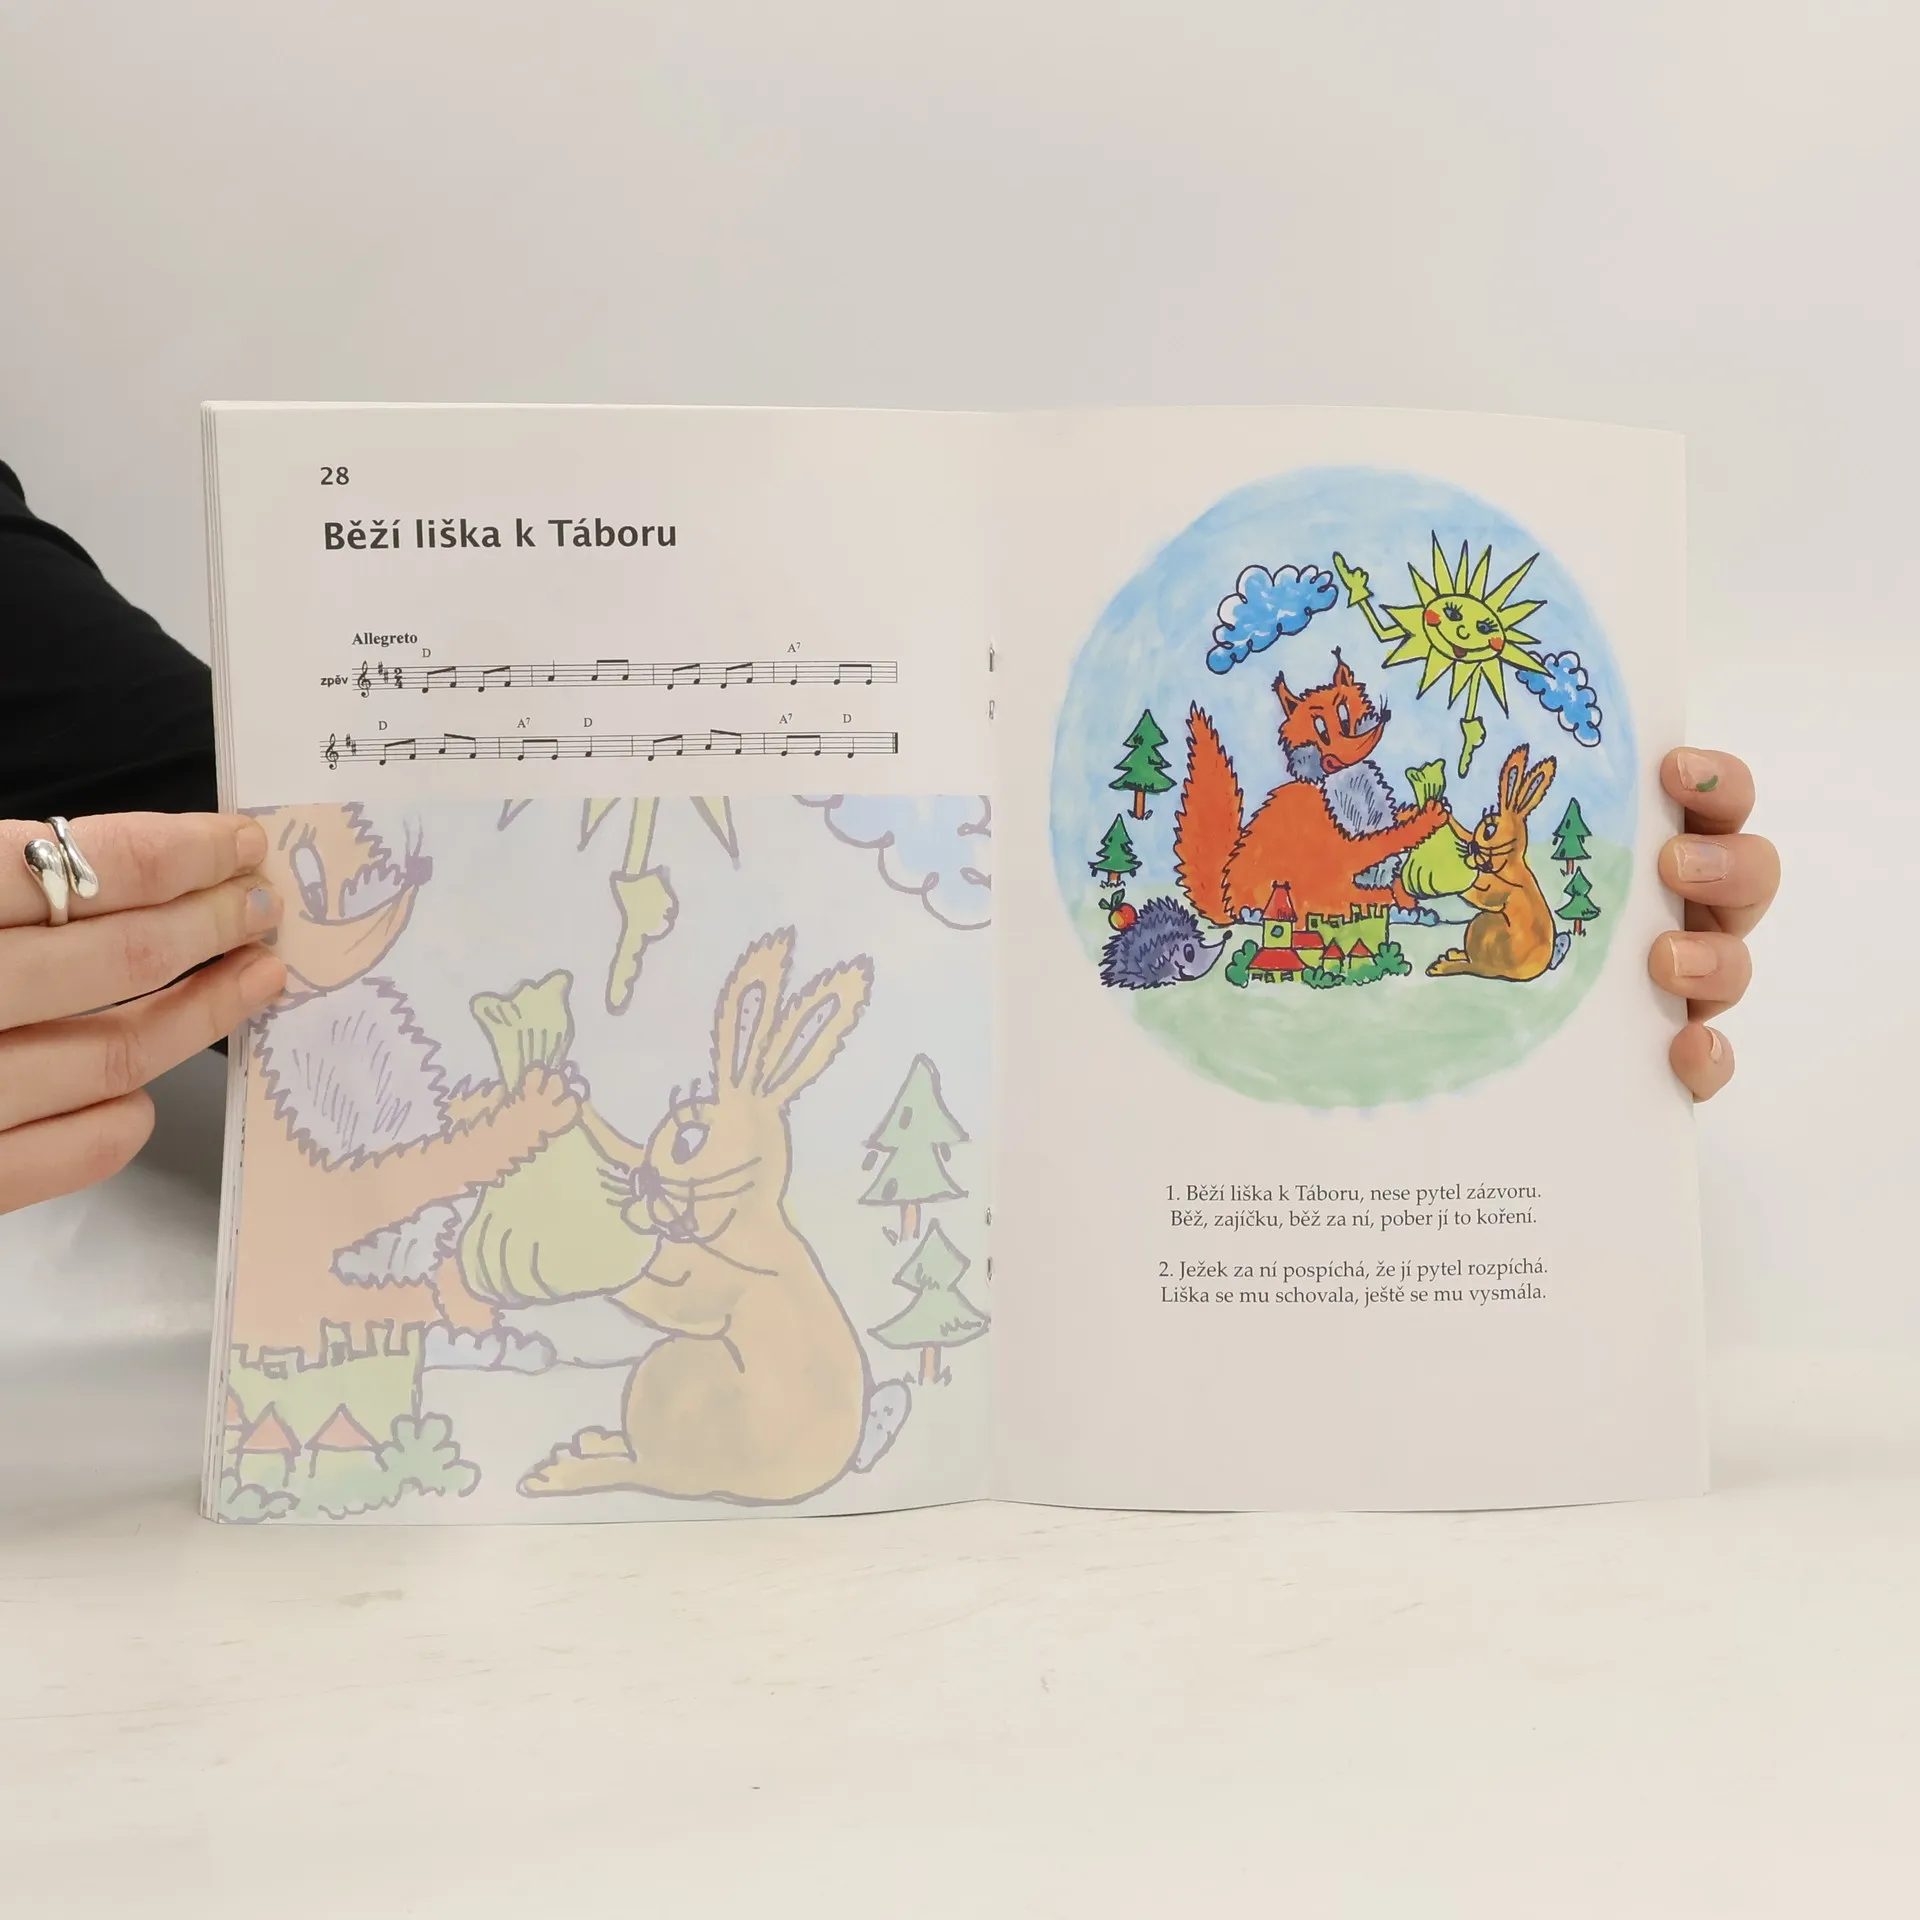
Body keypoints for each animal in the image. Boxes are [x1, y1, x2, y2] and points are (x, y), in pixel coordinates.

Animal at [518, 928, 893, 1504]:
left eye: (688, 1139)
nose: (643, 1183)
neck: (739, 1217)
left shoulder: (719, 1282)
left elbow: (665, 1300)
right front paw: (572, 1092)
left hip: (673, 1379)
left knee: (646, 1470)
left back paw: (565, 1471)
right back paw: (593, 1443)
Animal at [1425, 744, 1560, 982]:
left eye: (1489, 830)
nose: (1472, 848)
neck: (1506, 863)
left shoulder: (1500, 889)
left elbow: (1479, 896)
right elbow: (1464, 833)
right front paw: (1444, 810)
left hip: (1486, 929)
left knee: (1476, 967)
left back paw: (1443, 966)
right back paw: (1453, 954)